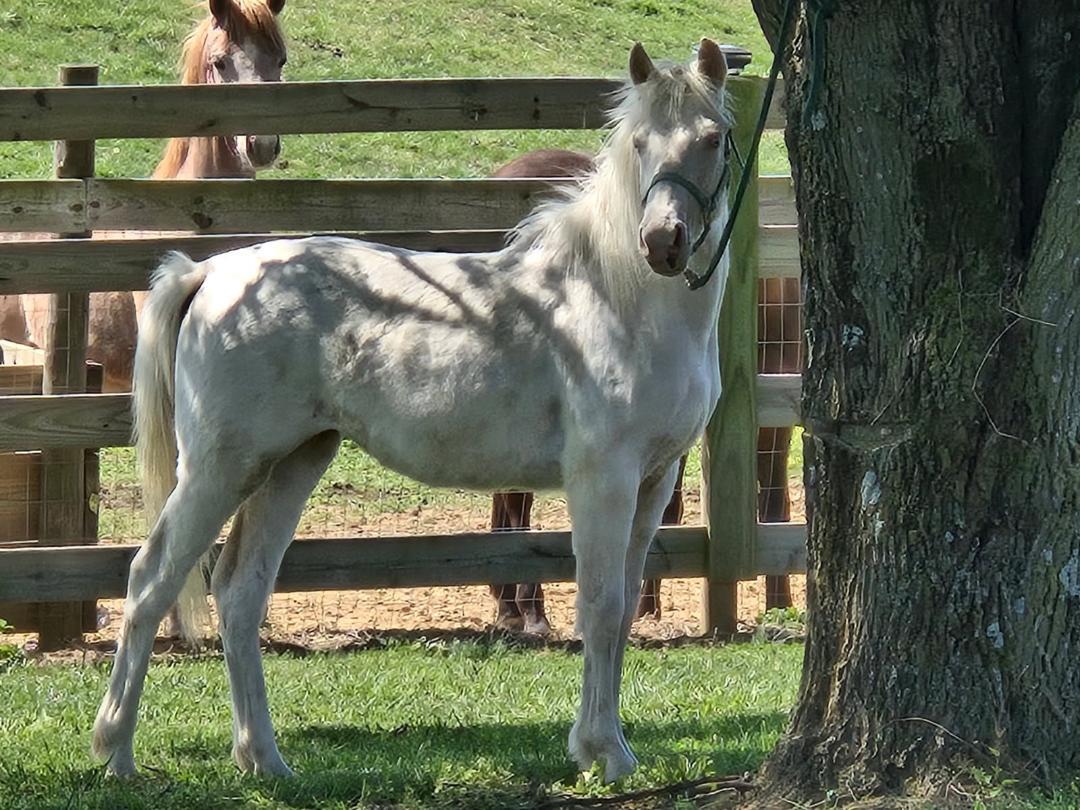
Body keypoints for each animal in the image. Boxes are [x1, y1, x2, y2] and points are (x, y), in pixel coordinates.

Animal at [92, 39, 735, 782]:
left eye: (712, 138)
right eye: (638, 143)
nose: (663, 242)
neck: (617, 299)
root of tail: (214, 273)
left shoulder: (653, 482)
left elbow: (625, 607)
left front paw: (612, 747)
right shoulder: (603, 479)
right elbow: (599, 606)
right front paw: (602, 751)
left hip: (290, 464)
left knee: (240, 593)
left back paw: (265, 759)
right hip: (221, 469)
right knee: (151, 579)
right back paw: (116, 752)